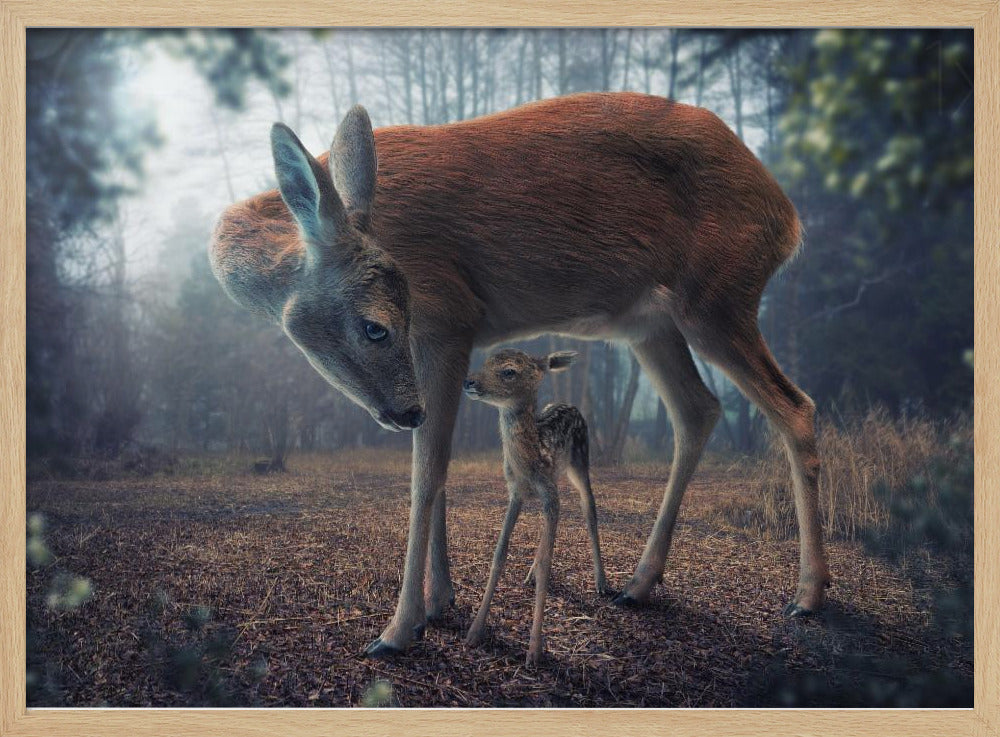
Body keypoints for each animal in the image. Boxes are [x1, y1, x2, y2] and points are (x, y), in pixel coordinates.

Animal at [462, 348, 607, 665]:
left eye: (509, 371)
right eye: (487, 361)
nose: (469, 381)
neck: (529, 462)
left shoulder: (549, 493)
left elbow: (547, 562)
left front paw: (534, 650)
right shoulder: (515, 492)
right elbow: (499, 553)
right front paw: (474, 632)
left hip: (580, 461)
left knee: (589, 509)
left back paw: (601, 582)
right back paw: (529, 573)